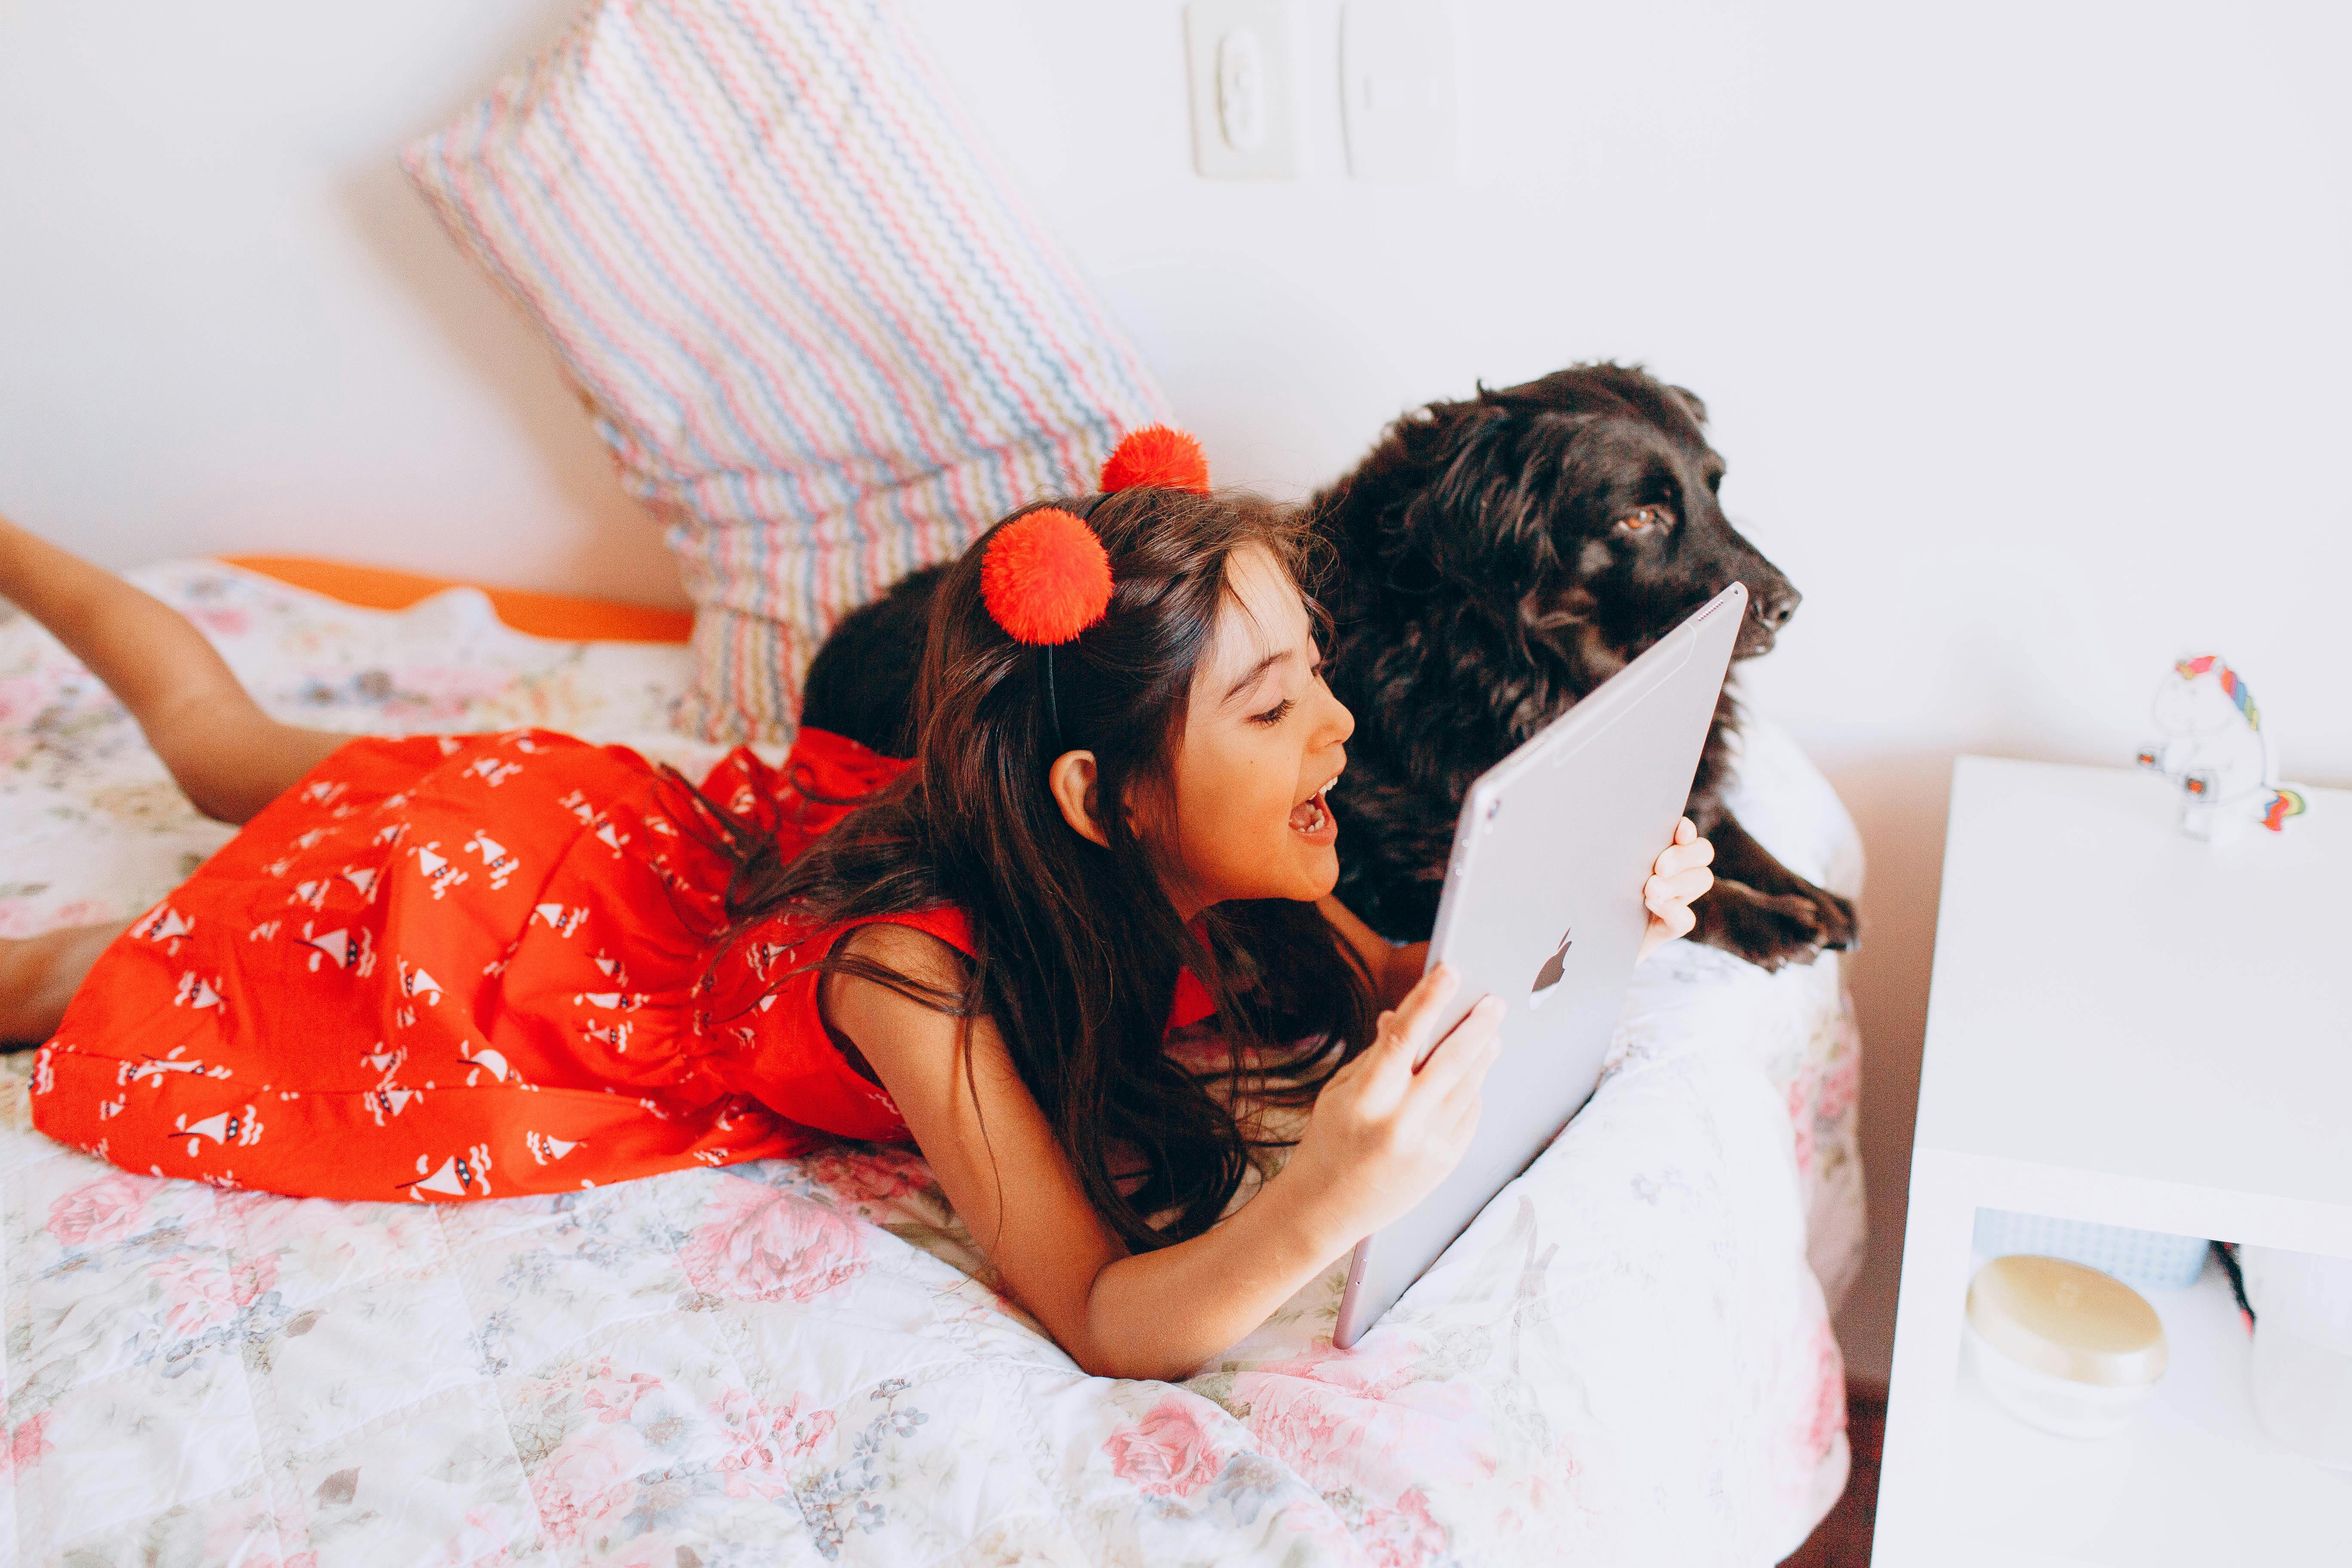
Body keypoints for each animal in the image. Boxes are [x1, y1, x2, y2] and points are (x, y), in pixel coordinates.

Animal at [804, 369, 1853, 973]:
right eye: (1639, 516)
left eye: (1714, 489)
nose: (1789, 603)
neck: (1505, 661)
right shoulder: (1404, 878)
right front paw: (1764, 917)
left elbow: (1713, 819)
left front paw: (1801, 885)